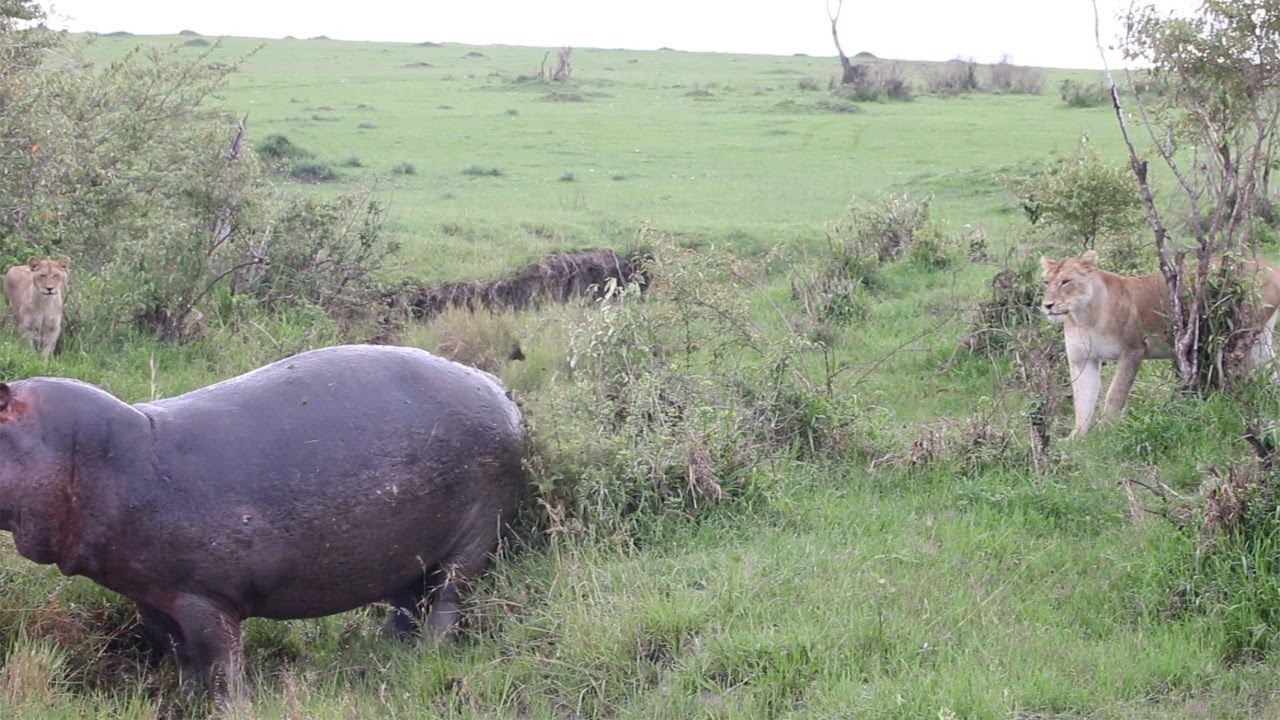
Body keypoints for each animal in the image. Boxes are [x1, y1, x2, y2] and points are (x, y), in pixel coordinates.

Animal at [0, 344, 526, 701]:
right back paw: (387, 658)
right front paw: (185, 702)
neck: (102, 455)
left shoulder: (205, 596)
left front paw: (227, 706)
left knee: (445, 603)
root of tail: (500, 389)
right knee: (405, 607)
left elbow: (219, 661)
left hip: (474, 537)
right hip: (406, 555)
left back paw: (426, 660)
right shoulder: (151, 595)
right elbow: (183, 656)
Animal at [1040, 250, 1280, 438]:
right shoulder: (1082, 360)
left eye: (1066, 282)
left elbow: (1115, 393)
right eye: (1046, 282)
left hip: (1243, 334)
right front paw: (1077, 438)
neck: (1084, 316)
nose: (1047, 305)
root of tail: (1269, 264)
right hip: (1262, 339)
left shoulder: (1133, 350)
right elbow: (1082, 400)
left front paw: (1105, 431)